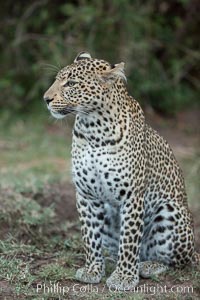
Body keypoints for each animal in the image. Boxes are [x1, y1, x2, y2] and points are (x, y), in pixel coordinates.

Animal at [43, 51, 199, 290]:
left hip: (171, 211)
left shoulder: (131, 196)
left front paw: (124, 278)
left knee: (176, 261)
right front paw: (92, 270)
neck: (93, 130)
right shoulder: (86, 195)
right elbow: (90, 237)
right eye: (57, 79)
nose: (46, 98)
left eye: (71, 83)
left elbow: (129, 240)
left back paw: (147, 266)